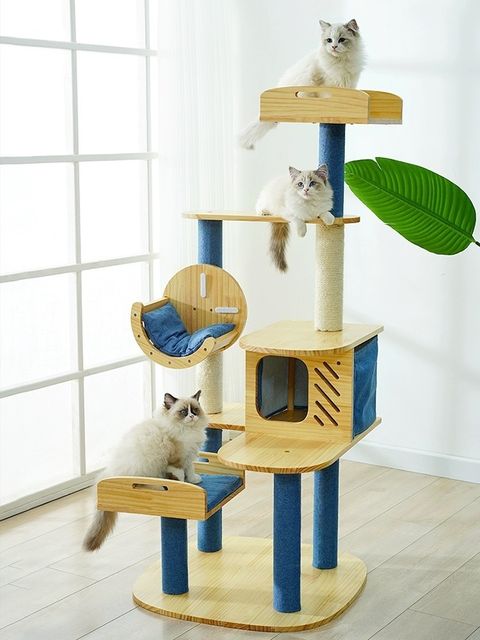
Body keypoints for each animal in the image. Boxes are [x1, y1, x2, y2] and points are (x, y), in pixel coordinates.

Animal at [83, 390, 208, 551]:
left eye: (195, 410)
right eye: (184, 412)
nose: (192, 416)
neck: (188, 431)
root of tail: (109, 473)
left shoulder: (189, 455)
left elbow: (190, 470)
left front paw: (193, 480)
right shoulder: (177, 459)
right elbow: (180, 475)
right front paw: (180, 486)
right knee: (141, 484)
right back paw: (160, 486)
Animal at [239, 19, 365, 149]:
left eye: (341, 40)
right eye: (329, 40)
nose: (334, 47)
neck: (340, 61)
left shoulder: (349, 84)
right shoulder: (325, 84)